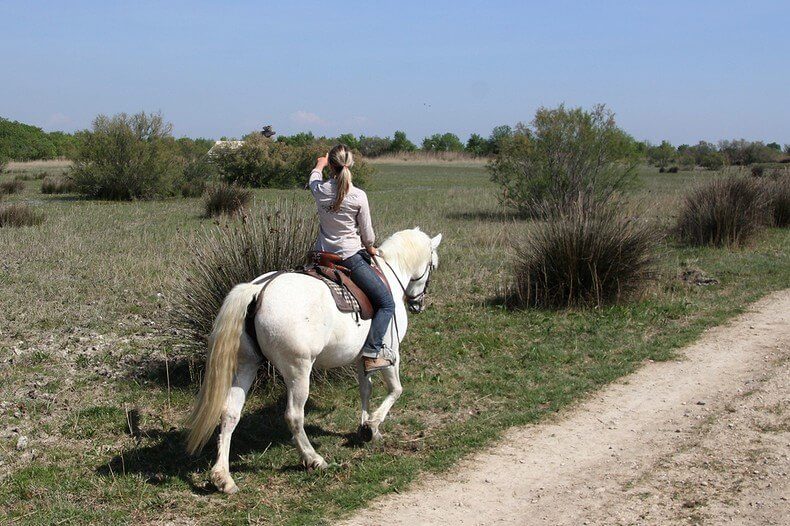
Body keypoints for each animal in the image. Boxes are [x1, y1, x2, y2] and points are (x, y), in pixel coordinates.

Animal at [188, 227, 442, 496]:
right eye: (433, 265)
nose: (418, 304)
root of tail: (259, 290)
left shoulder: (362, 357)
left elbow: (366, 389)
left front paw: (365, 427)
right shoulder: (391, 353)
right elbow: (396, 390)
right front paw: (372, 425)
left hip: (246, 365)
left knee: (230, 413)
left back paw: (223, 477)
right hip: (298, 371)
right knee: (293, 416)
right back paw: (312, 458)